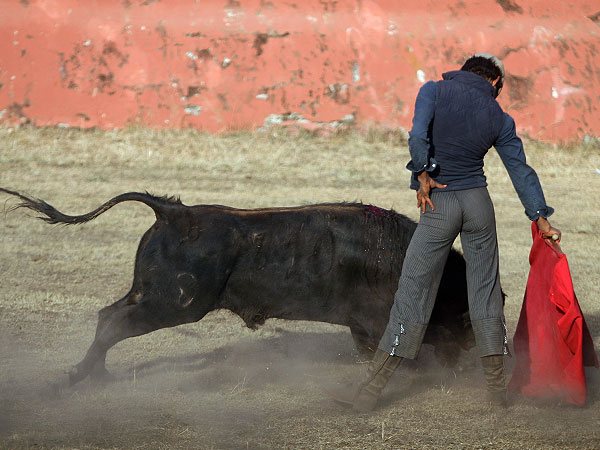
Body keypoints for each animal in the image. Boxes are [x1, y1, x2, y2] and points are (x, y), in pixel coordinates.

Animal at [0, 188, 474, 387]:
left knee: (107, 316)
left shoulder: (363, 327)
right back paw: (82, 375)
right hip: (172, 305)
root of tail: (176, 213)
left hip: (150, 295)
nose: (468, 351)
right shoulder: (378, 322)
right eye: (463, 310)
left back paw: (95, 373)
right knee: (114, 324)